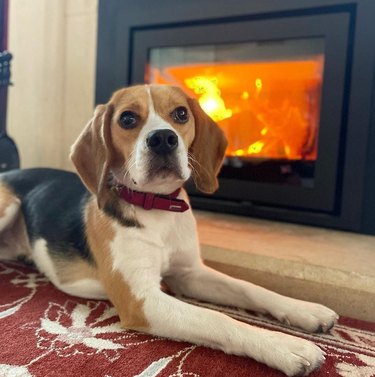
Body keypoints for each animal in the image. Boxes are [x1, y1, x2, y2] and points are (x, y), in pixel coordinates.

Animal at [0, 85, 340, 376]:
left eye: (180, 114)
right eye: (127, 118)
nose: (163, 138)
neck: (158, 209)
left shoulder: (189, 274)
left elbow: (249, 288)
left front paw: (304, 309)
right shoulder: (141, 300)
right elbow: (217, 318)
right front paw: (284, 345)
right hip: (8, 206)